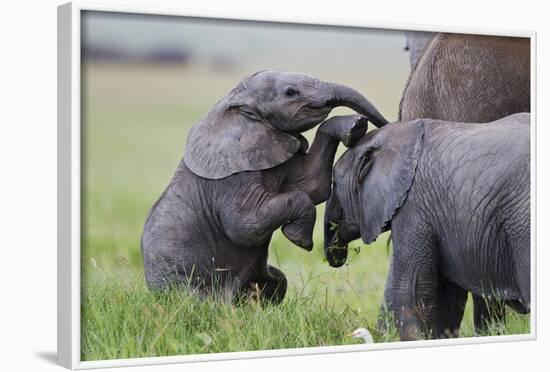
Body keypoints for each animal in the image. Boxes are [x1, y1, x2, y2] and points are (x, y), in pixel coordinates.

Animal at [141, 71, 388, 304]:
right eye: (291, 92)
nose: (386, 126)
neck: (236, 103)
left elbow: (312, 184)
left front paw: (354, 126)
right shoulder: (232, 174)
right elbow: (246, 226)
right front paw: (298, 239)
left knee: (279, 282)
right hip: (182, 282)